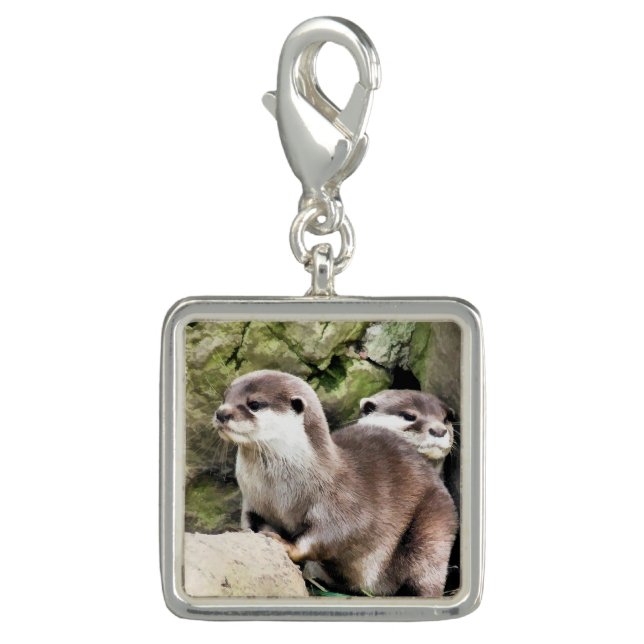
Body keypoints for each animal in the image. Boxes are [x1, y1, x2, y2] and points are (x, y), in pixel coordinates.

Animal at [214, 370, 457, 597]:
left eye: (254, 404)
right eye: (225, 397)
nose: (221, 413)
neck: (279, 492)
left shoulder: (343, 501)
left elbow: (336, 533)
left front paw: (287, 545)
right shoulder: (253, 502)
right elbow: (251, 522)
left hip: (432, 526)